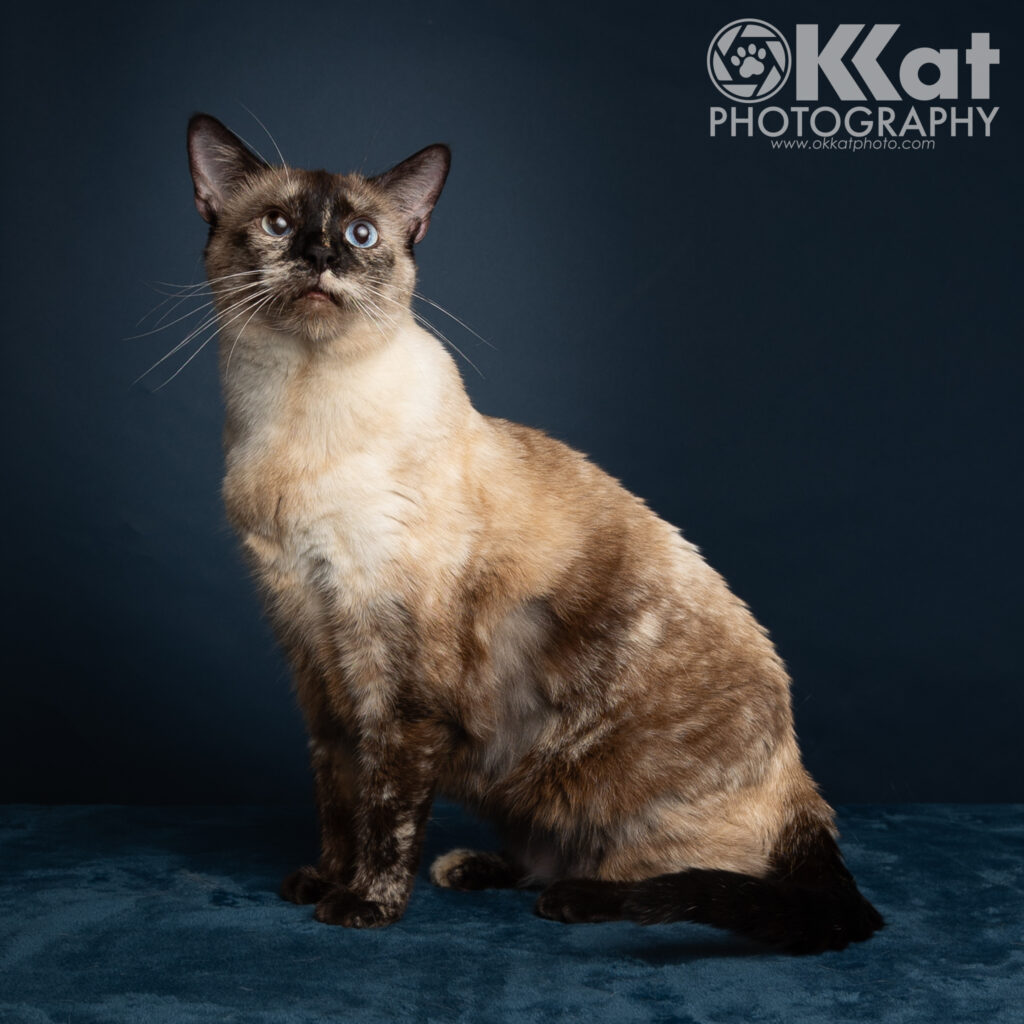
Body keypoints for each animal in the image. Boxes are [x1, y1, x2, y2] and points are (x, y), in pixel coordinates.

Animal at [186, 116, 888, 954]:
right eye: (277, 223)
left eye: (360, 234)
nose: (322, 255)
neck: (293, 410)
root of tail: (802, 780)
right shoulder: (311, 644)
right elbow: (339, 789)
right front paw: (323, 881)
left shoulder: (393, 672)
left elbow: (386, 807)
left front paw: (363, 906)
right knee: (543, 851)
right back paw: (472, 867)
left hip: (619, 789)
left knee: (668, 876)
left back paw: (573, 901)